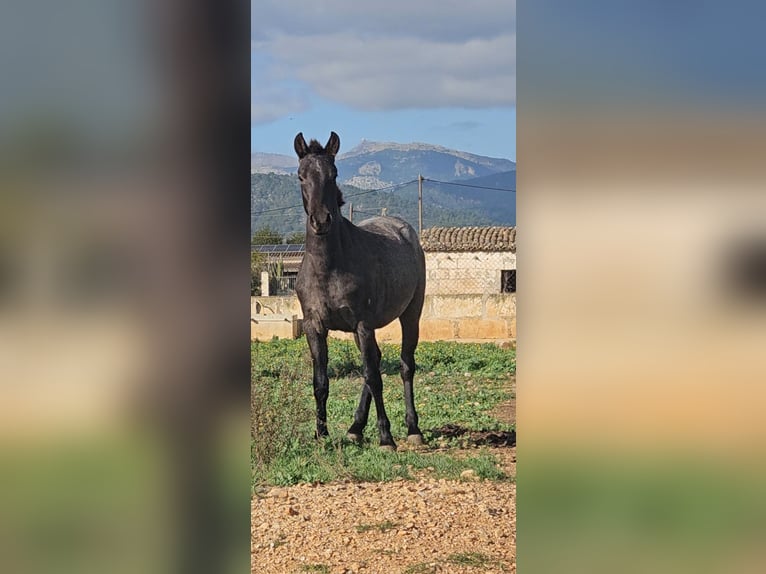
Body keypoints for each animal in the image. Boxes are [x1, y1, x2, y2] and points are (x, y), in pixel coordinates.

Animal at [292, 133, 426, 452]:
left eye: (333, 174)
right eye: (301, 176)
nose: (321, 221)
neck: (329, 266)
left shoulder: (364, 324)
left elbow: (374, 378)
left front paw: (386, 438)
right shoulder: (315, 327)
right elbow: (321, 382)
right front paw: (322, 435)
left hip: (410, 314)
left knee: (404, 365)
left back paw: (413, 429)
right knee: (375, 359)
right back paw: (355, 428)